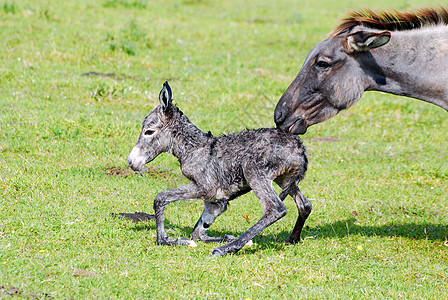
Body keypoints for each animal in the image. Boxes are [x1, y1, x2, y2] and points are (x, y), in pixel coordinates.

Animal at [128, 82, 310, 255]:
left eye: (149, 131)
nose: (132, 162)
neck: (194, 148)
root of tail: (299, 148)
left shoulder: (205, 188)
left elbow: (161, 198)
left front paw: (166, 240)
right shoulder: (216, 202)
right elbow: (198, 233)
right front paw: (223, 237)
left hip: (254, 171)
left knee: (276, 209)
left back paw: (226, 249)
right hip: (284, 179)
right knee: (305, 205)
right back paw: (291, 239)